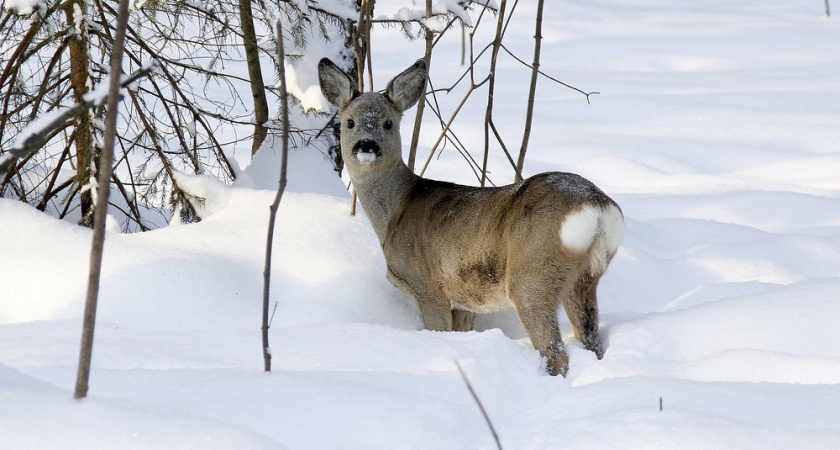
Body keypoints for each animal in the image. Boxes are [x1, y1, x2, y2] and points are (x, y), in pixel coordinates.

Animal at [320, 59, 624, 376]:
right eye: (349, 122)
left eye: (388, 123)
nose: (366, 146)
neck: (395, 214)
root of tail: (598, 207)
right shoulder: (465, 301)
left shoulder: (427, 285)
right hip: (586, 277)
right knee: (591, 340)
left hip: (533, 273)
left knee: (556, 351)